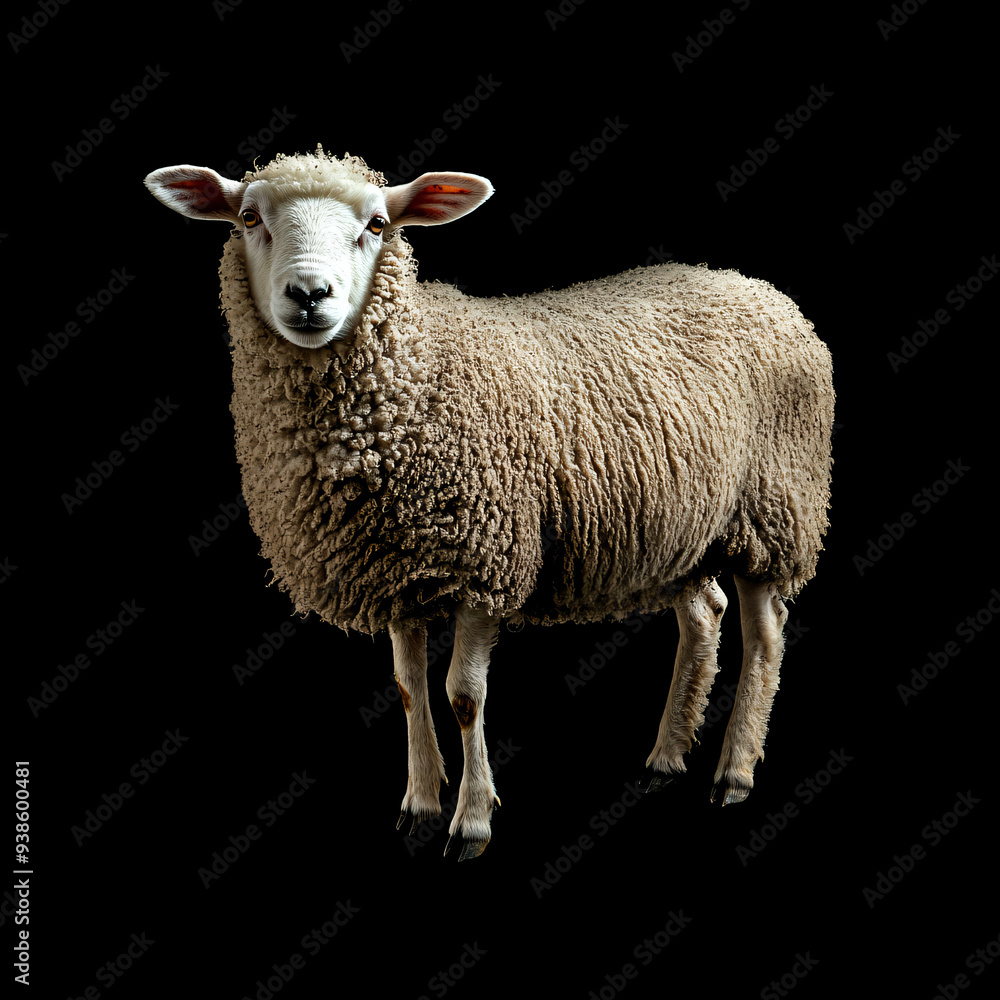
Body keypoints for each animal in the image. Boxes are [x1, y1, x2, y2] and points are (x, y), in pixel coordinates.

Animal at [144, 147, 834, 860]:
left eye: (378, 224)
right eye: (250, 218)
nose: (309, 294)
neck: (415, 375)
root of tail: (758, 288)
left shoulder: (485, 560)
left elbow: (463, 696)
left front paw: (471, 822)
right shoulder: (398, 568)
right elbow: (409, 689)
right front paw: (419, 805)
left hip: (777, 511)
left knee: (765, 635)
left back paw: (734, 773)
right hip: (682, 531)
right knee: (704, 616)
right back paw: (666, 758)